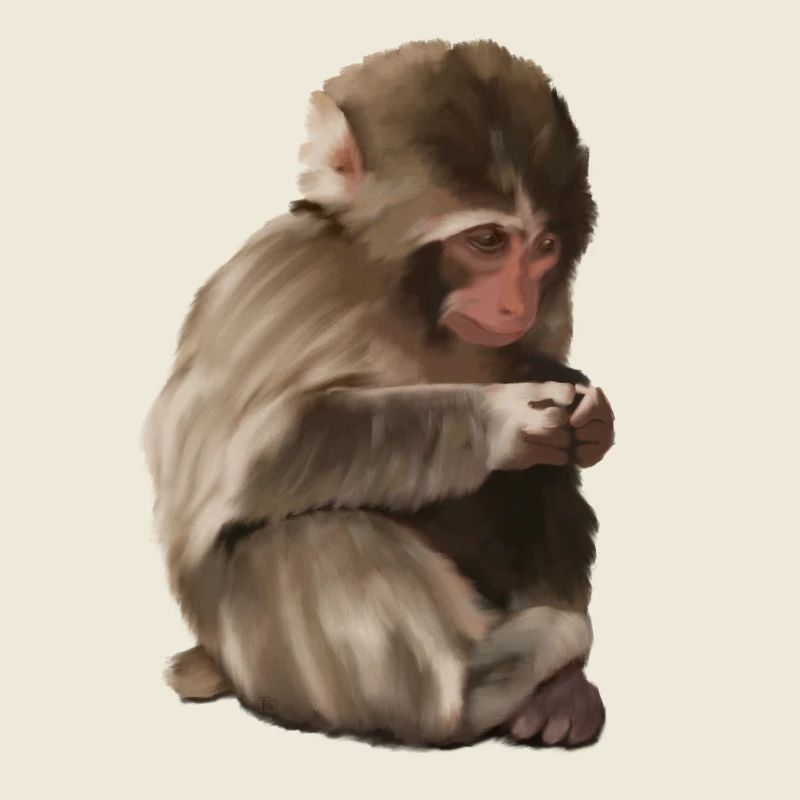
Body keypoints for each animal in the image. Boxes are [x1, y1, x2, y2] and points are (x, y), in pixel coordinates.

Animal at [143, 40, 615, 748]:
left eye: (545, 246)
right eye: (486, 240)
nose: (516, 305)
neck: (410, 301)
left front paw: (586, 412)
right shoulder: (284, 281)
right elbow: (246, 457)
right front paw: (506, 416)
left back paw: (560, 689)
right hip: (262, 660)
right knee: (313, 536)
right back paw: (488, 685)